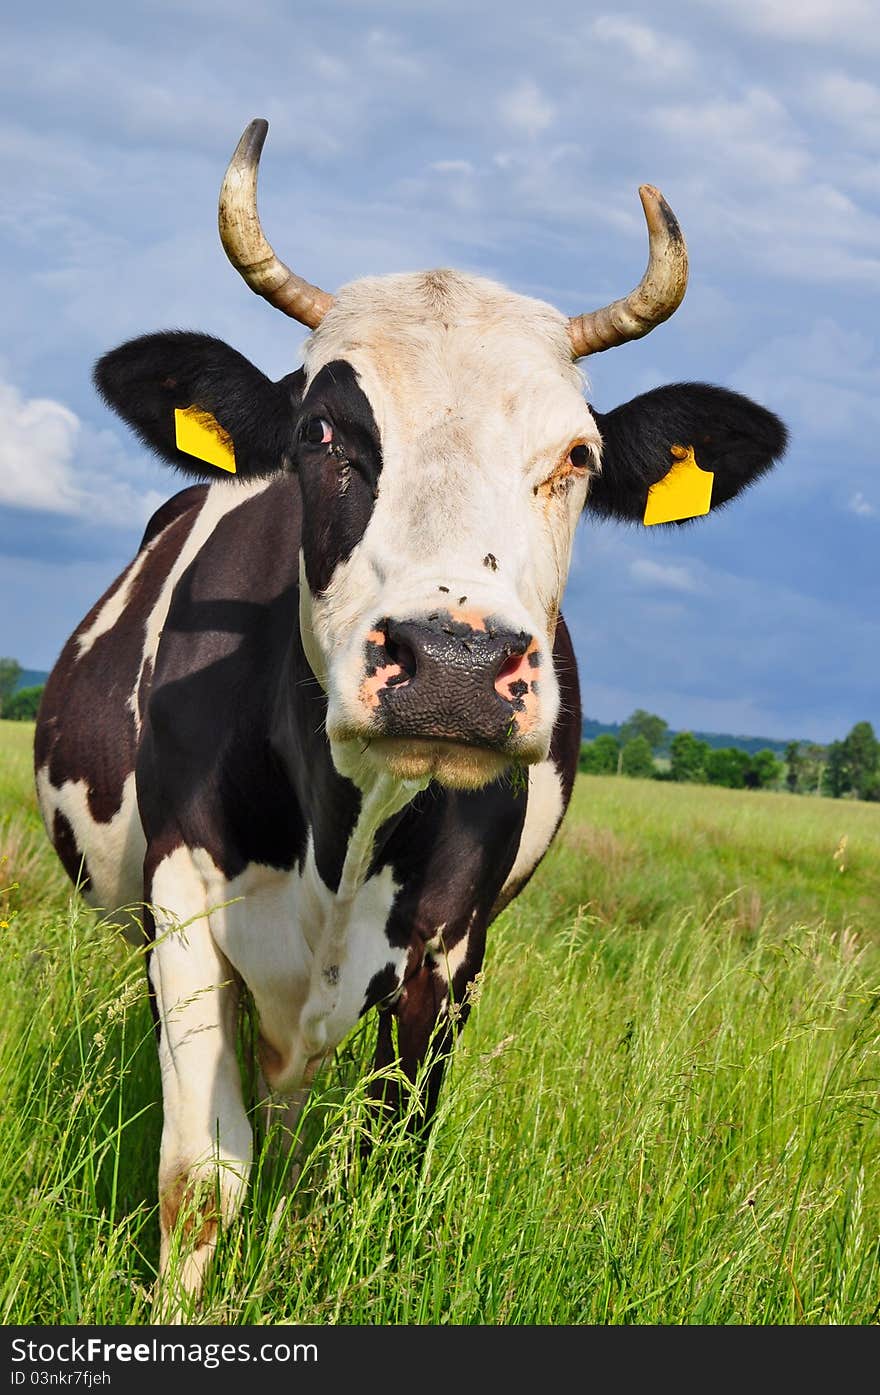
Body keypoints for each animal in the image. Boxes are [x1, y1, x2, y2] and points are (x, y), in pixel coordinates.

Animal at [32, 122, 786, 1305]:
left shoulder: (447, 955)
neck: (341, 831)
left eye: (578, 456)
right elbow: (200, 1177)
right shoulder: (185, 905)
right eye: (320, 429)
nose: (453, 663)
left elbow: (383, 1180)